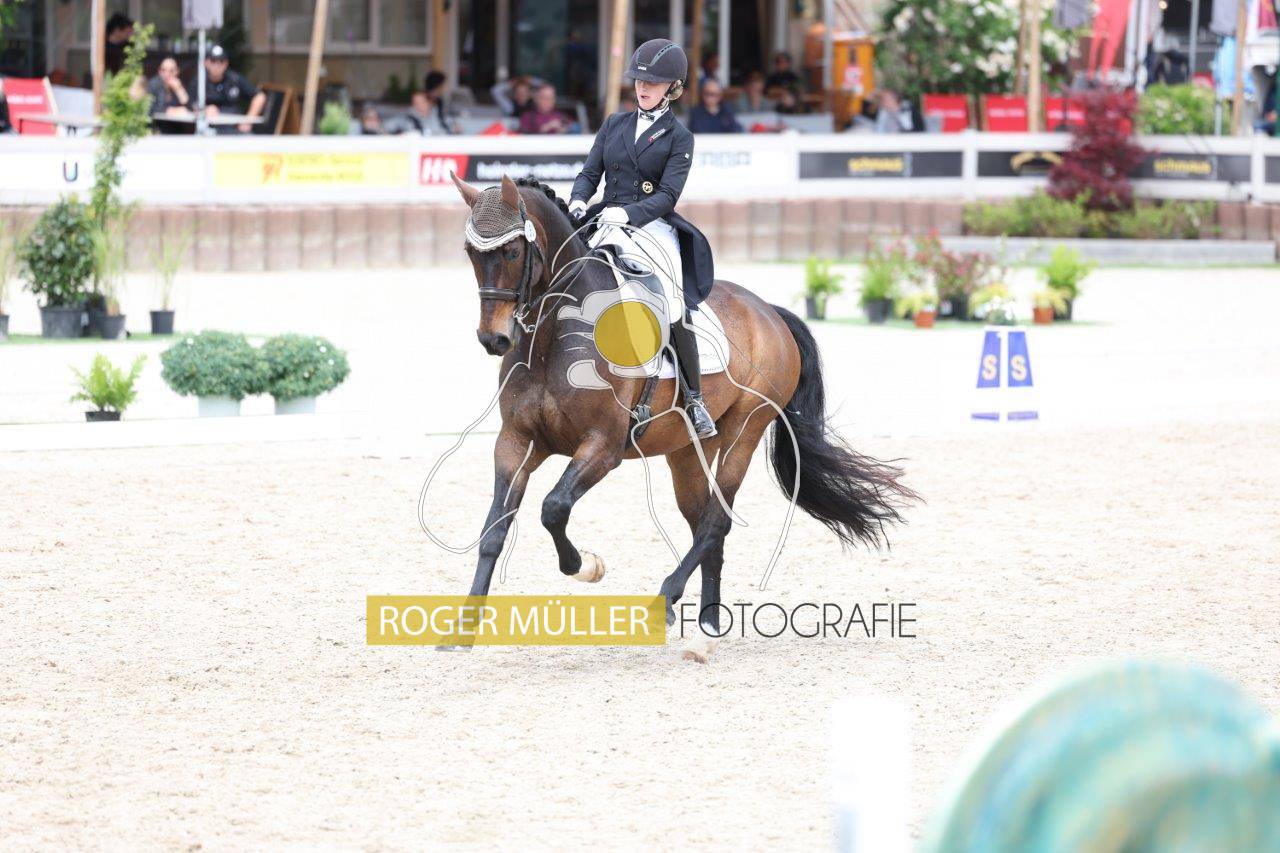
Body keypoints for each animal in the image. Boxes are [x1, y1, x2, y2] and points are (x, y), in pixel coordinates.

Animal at [447, 173, 916, 658]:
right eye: (470, 252)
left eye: (512, 251)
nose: (494, 339)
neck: (554, 335)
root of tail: (769, 311)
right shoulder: (516, 442)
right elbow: (493, 529)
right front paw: (463, 629)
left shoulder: (603, 447)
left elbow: (553, 507)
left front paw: (586, 566)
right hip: (687, 449)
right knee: (703, 523)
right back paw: (707, 623)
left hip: (745, 430)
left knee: (716, 521)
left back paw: (667, 604)